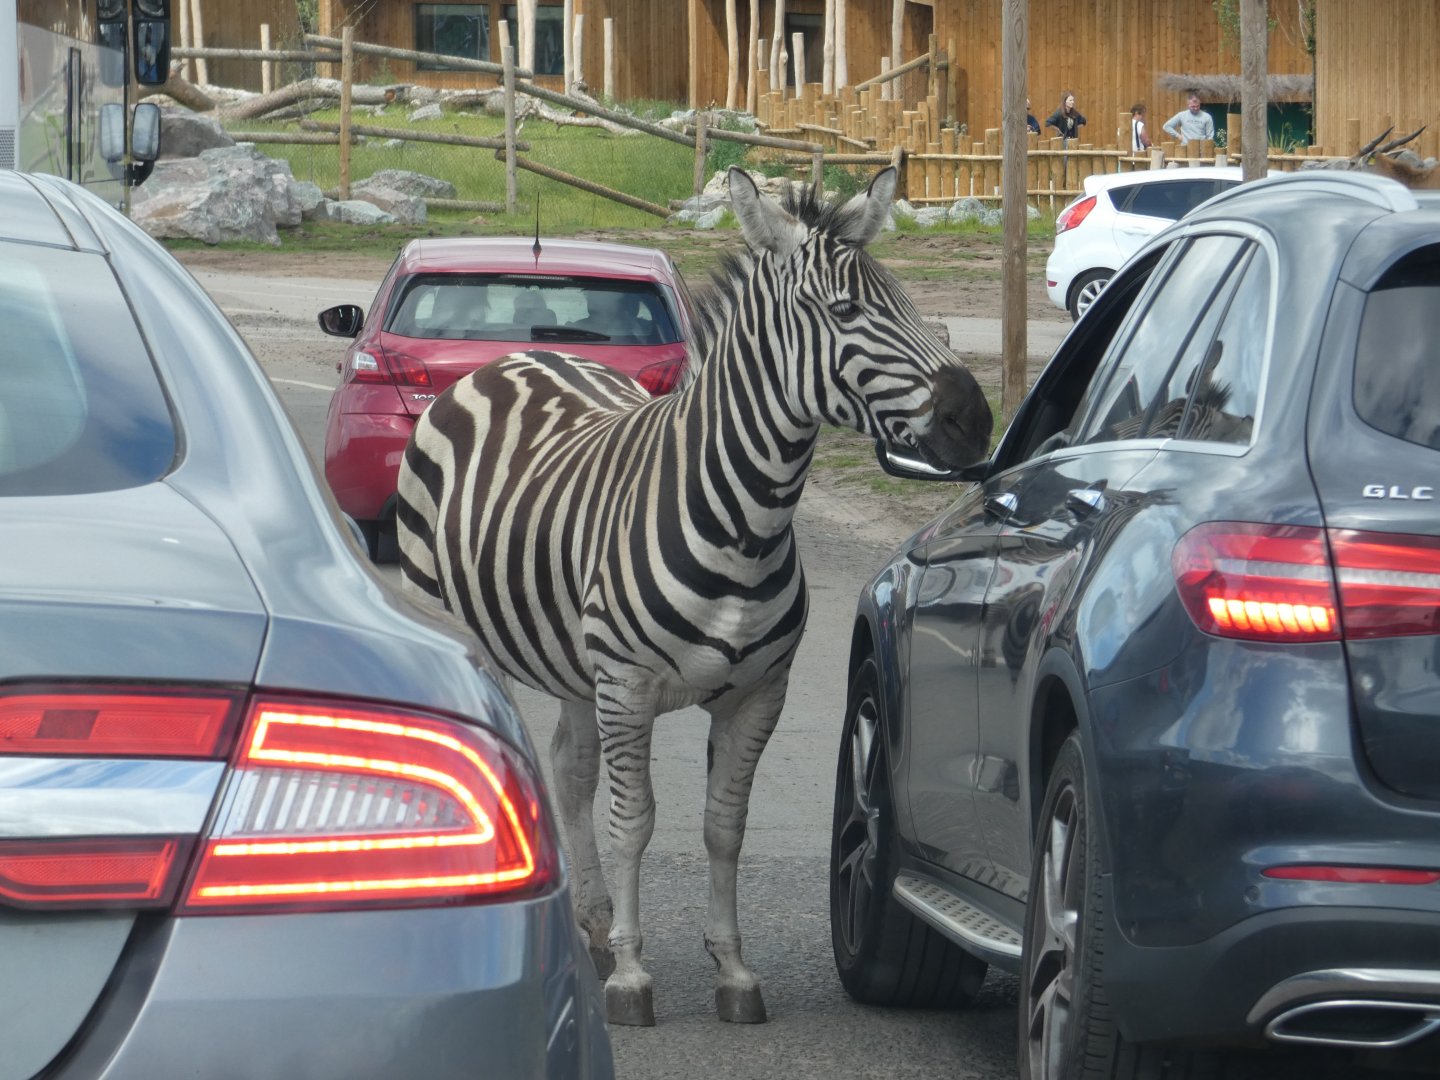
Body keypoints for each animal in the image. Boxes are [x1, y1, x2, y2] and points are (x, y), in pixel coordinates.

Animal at [395, 166, 993, 1027]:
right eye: (847, 312)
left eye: (908, 300)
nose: (974, 419)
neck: (749, 523)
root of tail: (519, 353)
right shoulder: (629, 684)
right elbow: (634, 821)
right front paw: (631, 975)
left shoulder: (758, 693)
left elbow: (723, 827)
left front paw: (732, 969)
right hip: (464, 629)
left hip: (574, 662)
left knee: (570, 768)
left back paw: (592, 922)